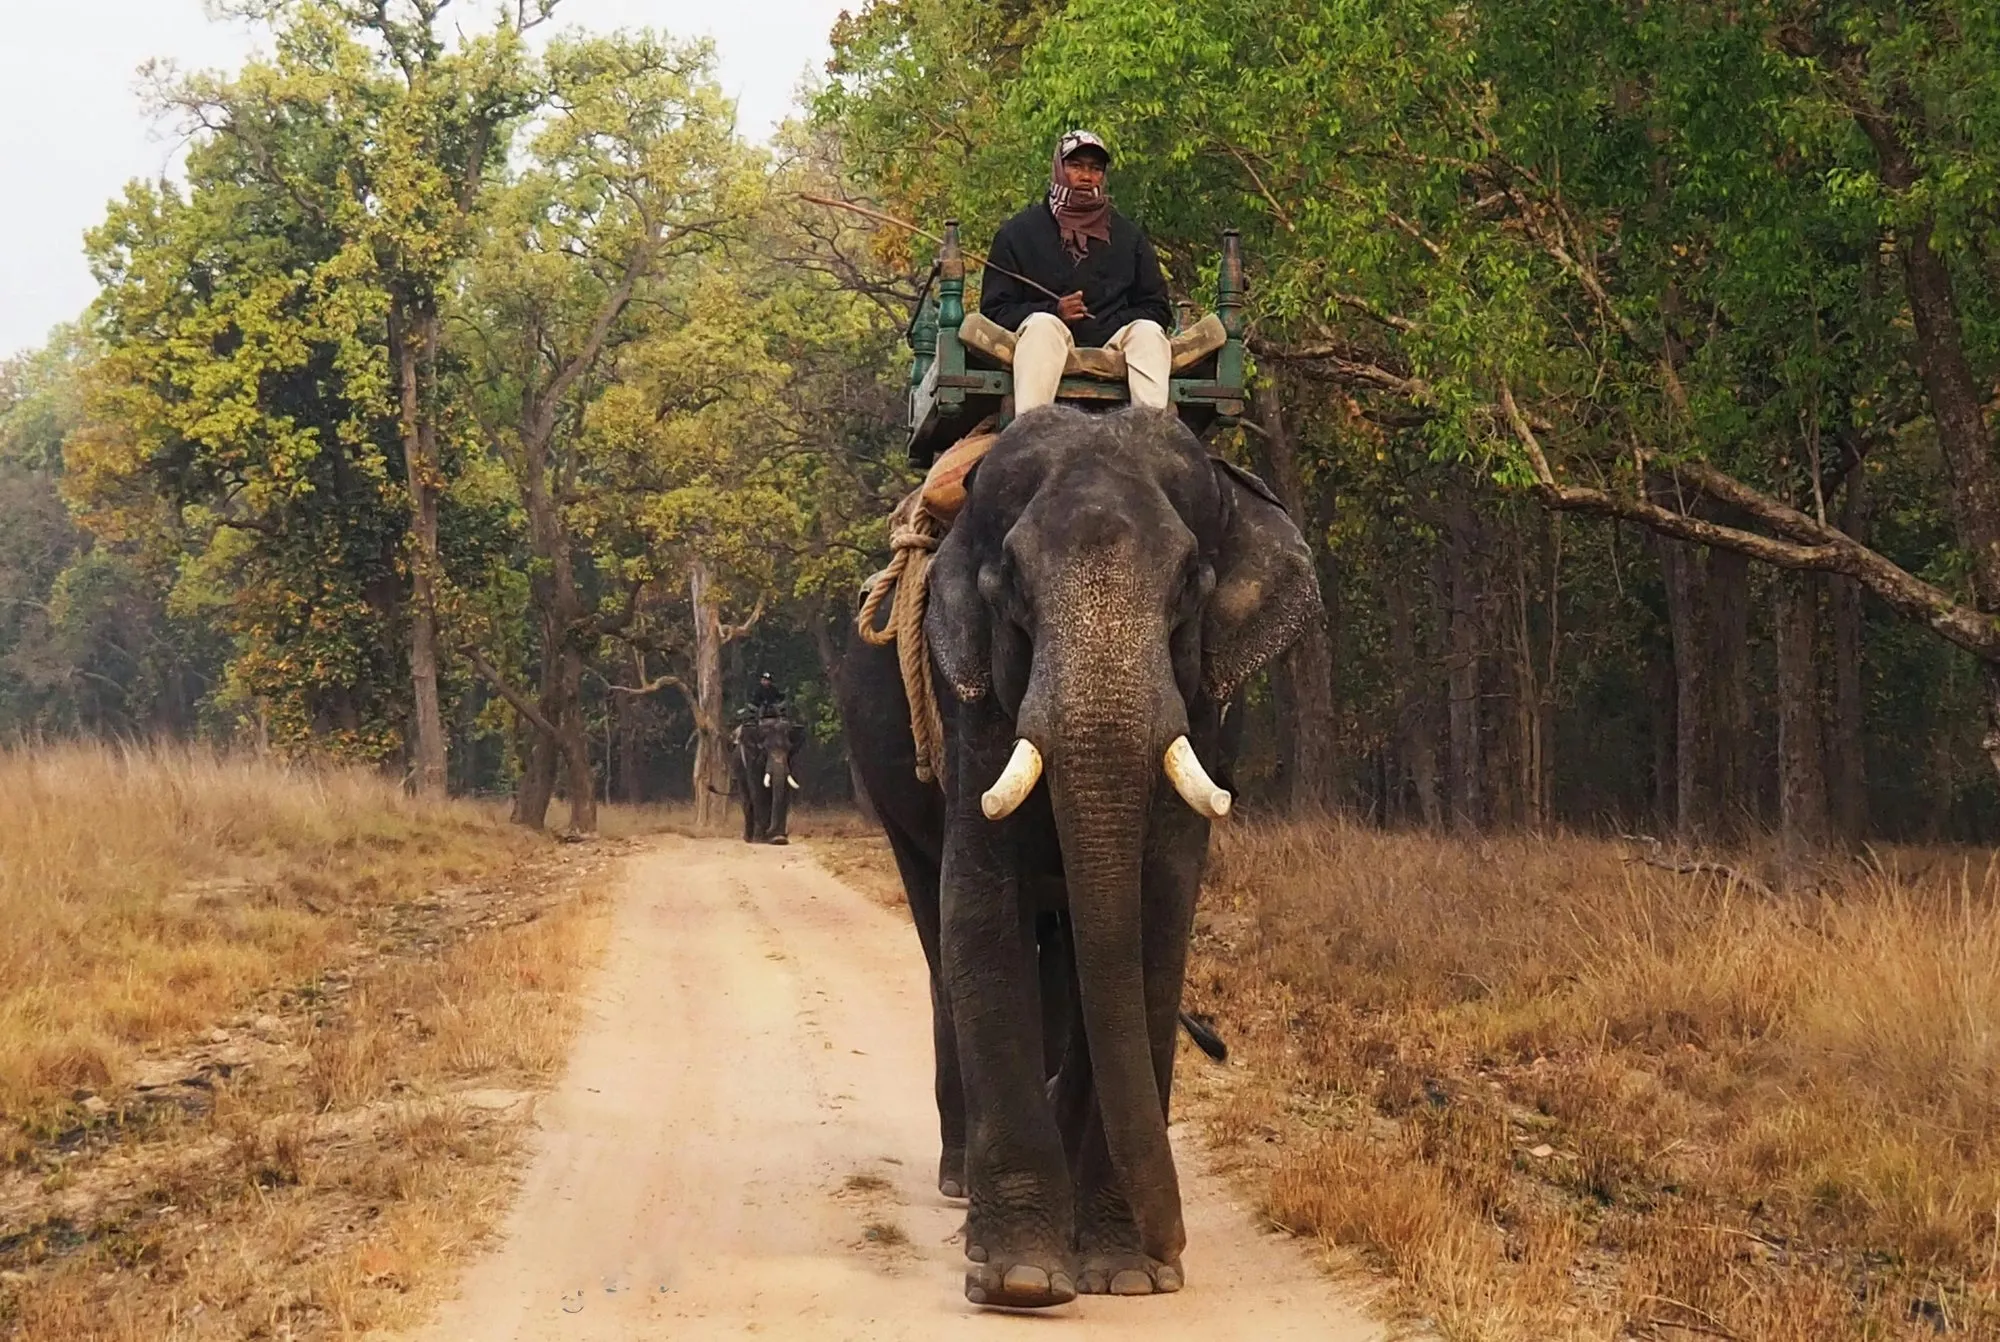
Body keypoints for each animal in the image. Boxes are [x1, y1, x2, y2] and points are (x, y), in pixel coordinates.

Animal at [730, 713, 806, 844]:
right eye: (765, 749)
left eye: (789, 749)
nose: (787, 834)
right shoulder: (752, 759)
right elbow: (758, 791)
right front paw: (760, 839)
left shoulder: (790, 762)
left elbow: (785, 790)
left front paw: (779, 839)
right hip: (738, 770)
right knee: (747, 801)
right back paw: (749, 839)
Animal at [837, 406, 1318, 1309]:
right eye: (1009, 587)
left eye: (1189, 583)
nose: (1174, 1242)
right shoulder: (972, 705)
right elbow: (980, 909)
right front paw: (1022, 1279)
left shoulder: (1207, 711)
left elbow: (1155, 917)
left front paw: (1128, 1275)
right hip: (887, 784)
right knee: (938, 930)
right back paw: (959, 1180)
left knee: (1064, 946)